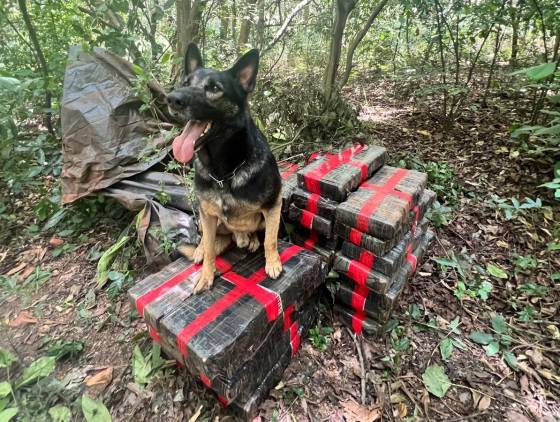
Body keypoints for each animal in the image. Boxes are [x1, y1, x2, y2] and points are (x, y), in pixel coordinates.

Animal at [165, 44, 280, 292]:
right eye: (185, 82)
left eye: (214, 88)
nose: (172, 99)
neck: (223, 173)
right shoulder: (208, 215)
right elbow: (209, 248)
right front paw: (206, 275)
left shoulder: (273, 205)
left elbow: (271, 239)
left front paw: (273, 262)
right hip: (202, 215)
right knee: (205, 240)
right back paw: (201, 250)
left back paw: (250, 239)